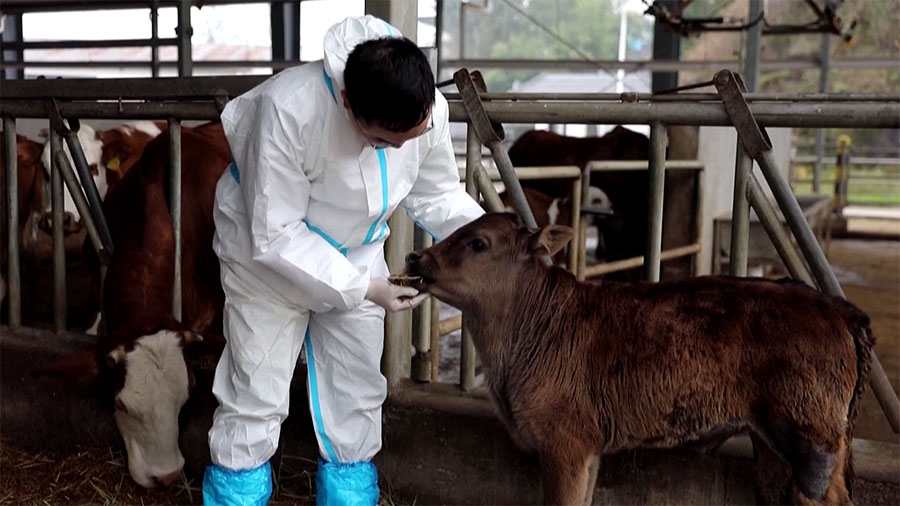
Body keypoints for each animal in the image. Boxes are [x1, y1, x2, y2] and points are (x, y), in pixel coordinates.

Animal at [404, 213, 876, 506]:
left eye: (478, 242)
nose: (415, 256)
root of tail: (837, 308)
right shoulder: (590, 445)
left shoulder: (563, 440)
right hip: (778, 445)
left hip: (812, 440)